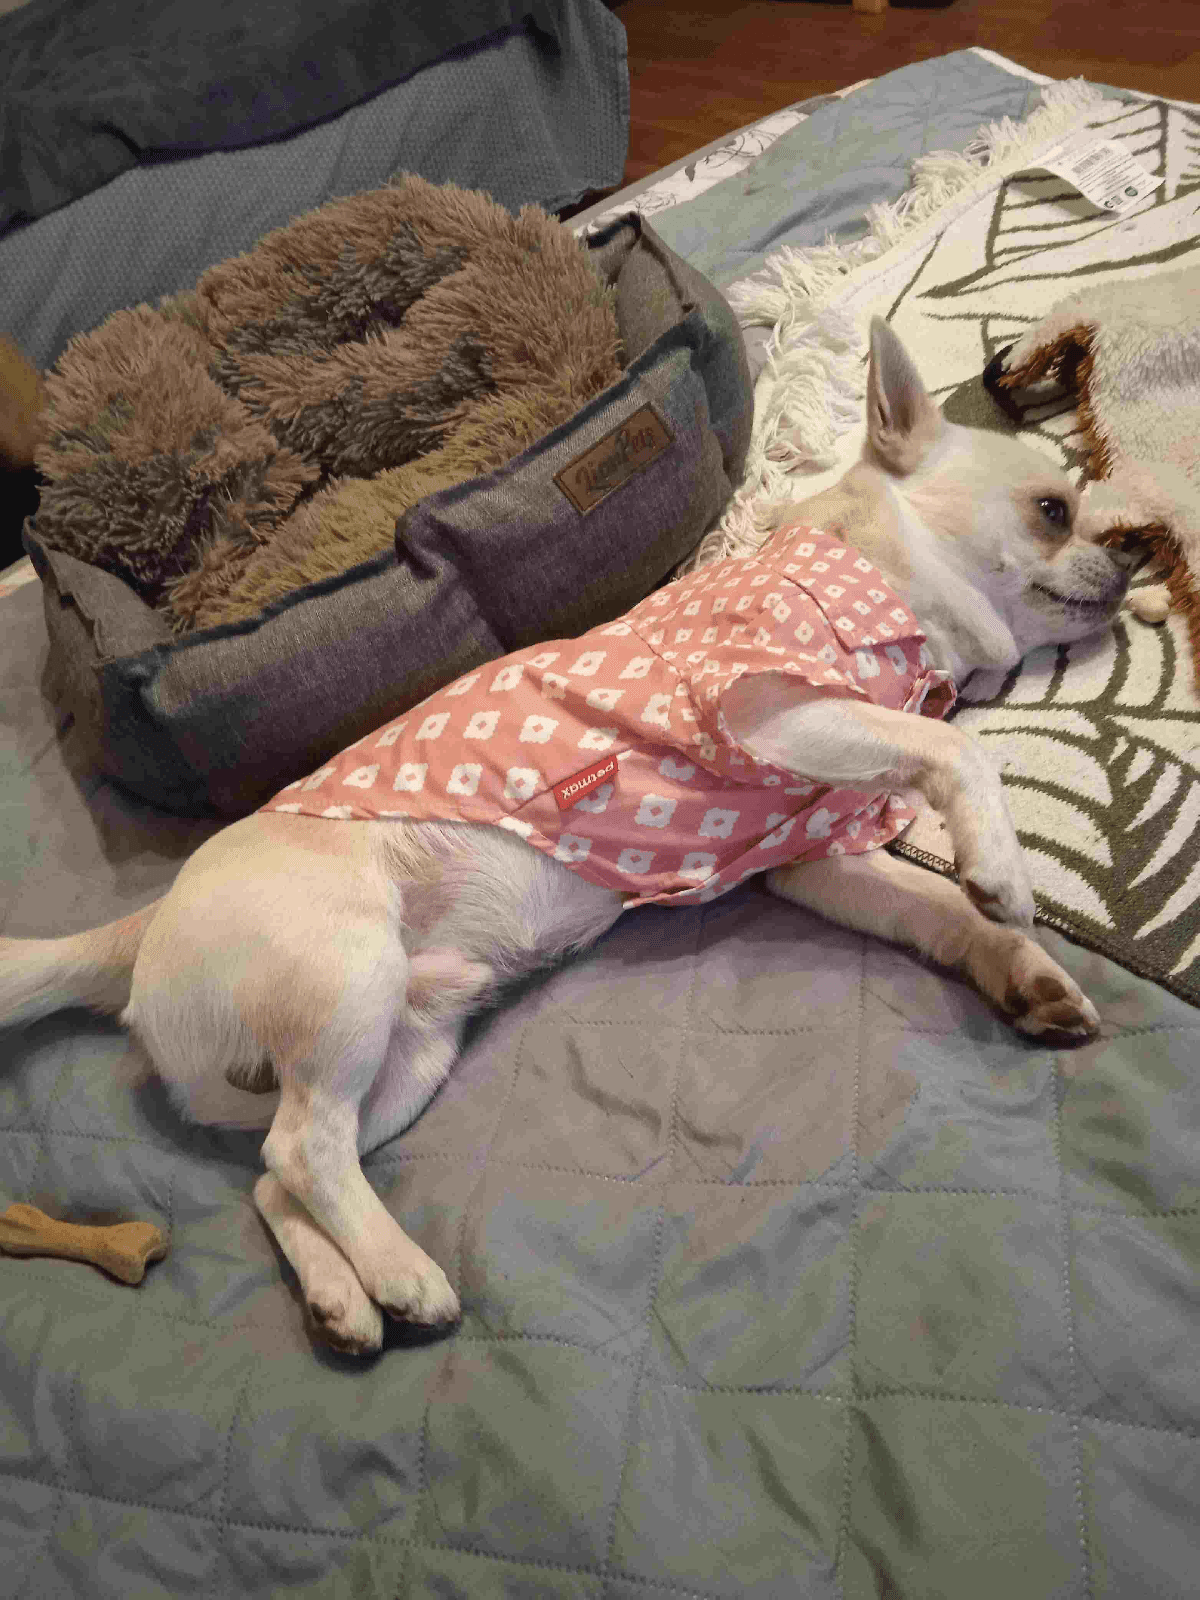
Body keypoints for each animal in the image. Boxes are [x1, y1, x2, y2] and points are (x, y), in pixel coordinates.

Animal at [0, 319, 1133, 1355]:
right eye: (1053, 511)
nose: (1127, 558)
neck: (873, 581)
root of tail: (146, 923)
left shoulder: (817, 856)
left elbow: (932, 907)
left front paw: (1018, 968)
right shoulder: (774, 708)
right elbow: (957, 753)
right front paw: (1000, 864)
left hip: (404, 1050)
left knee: (281, 1175)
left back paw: (342, 1298)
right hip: (346, 979)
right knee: (306, 1150)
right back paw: (404, 1274)